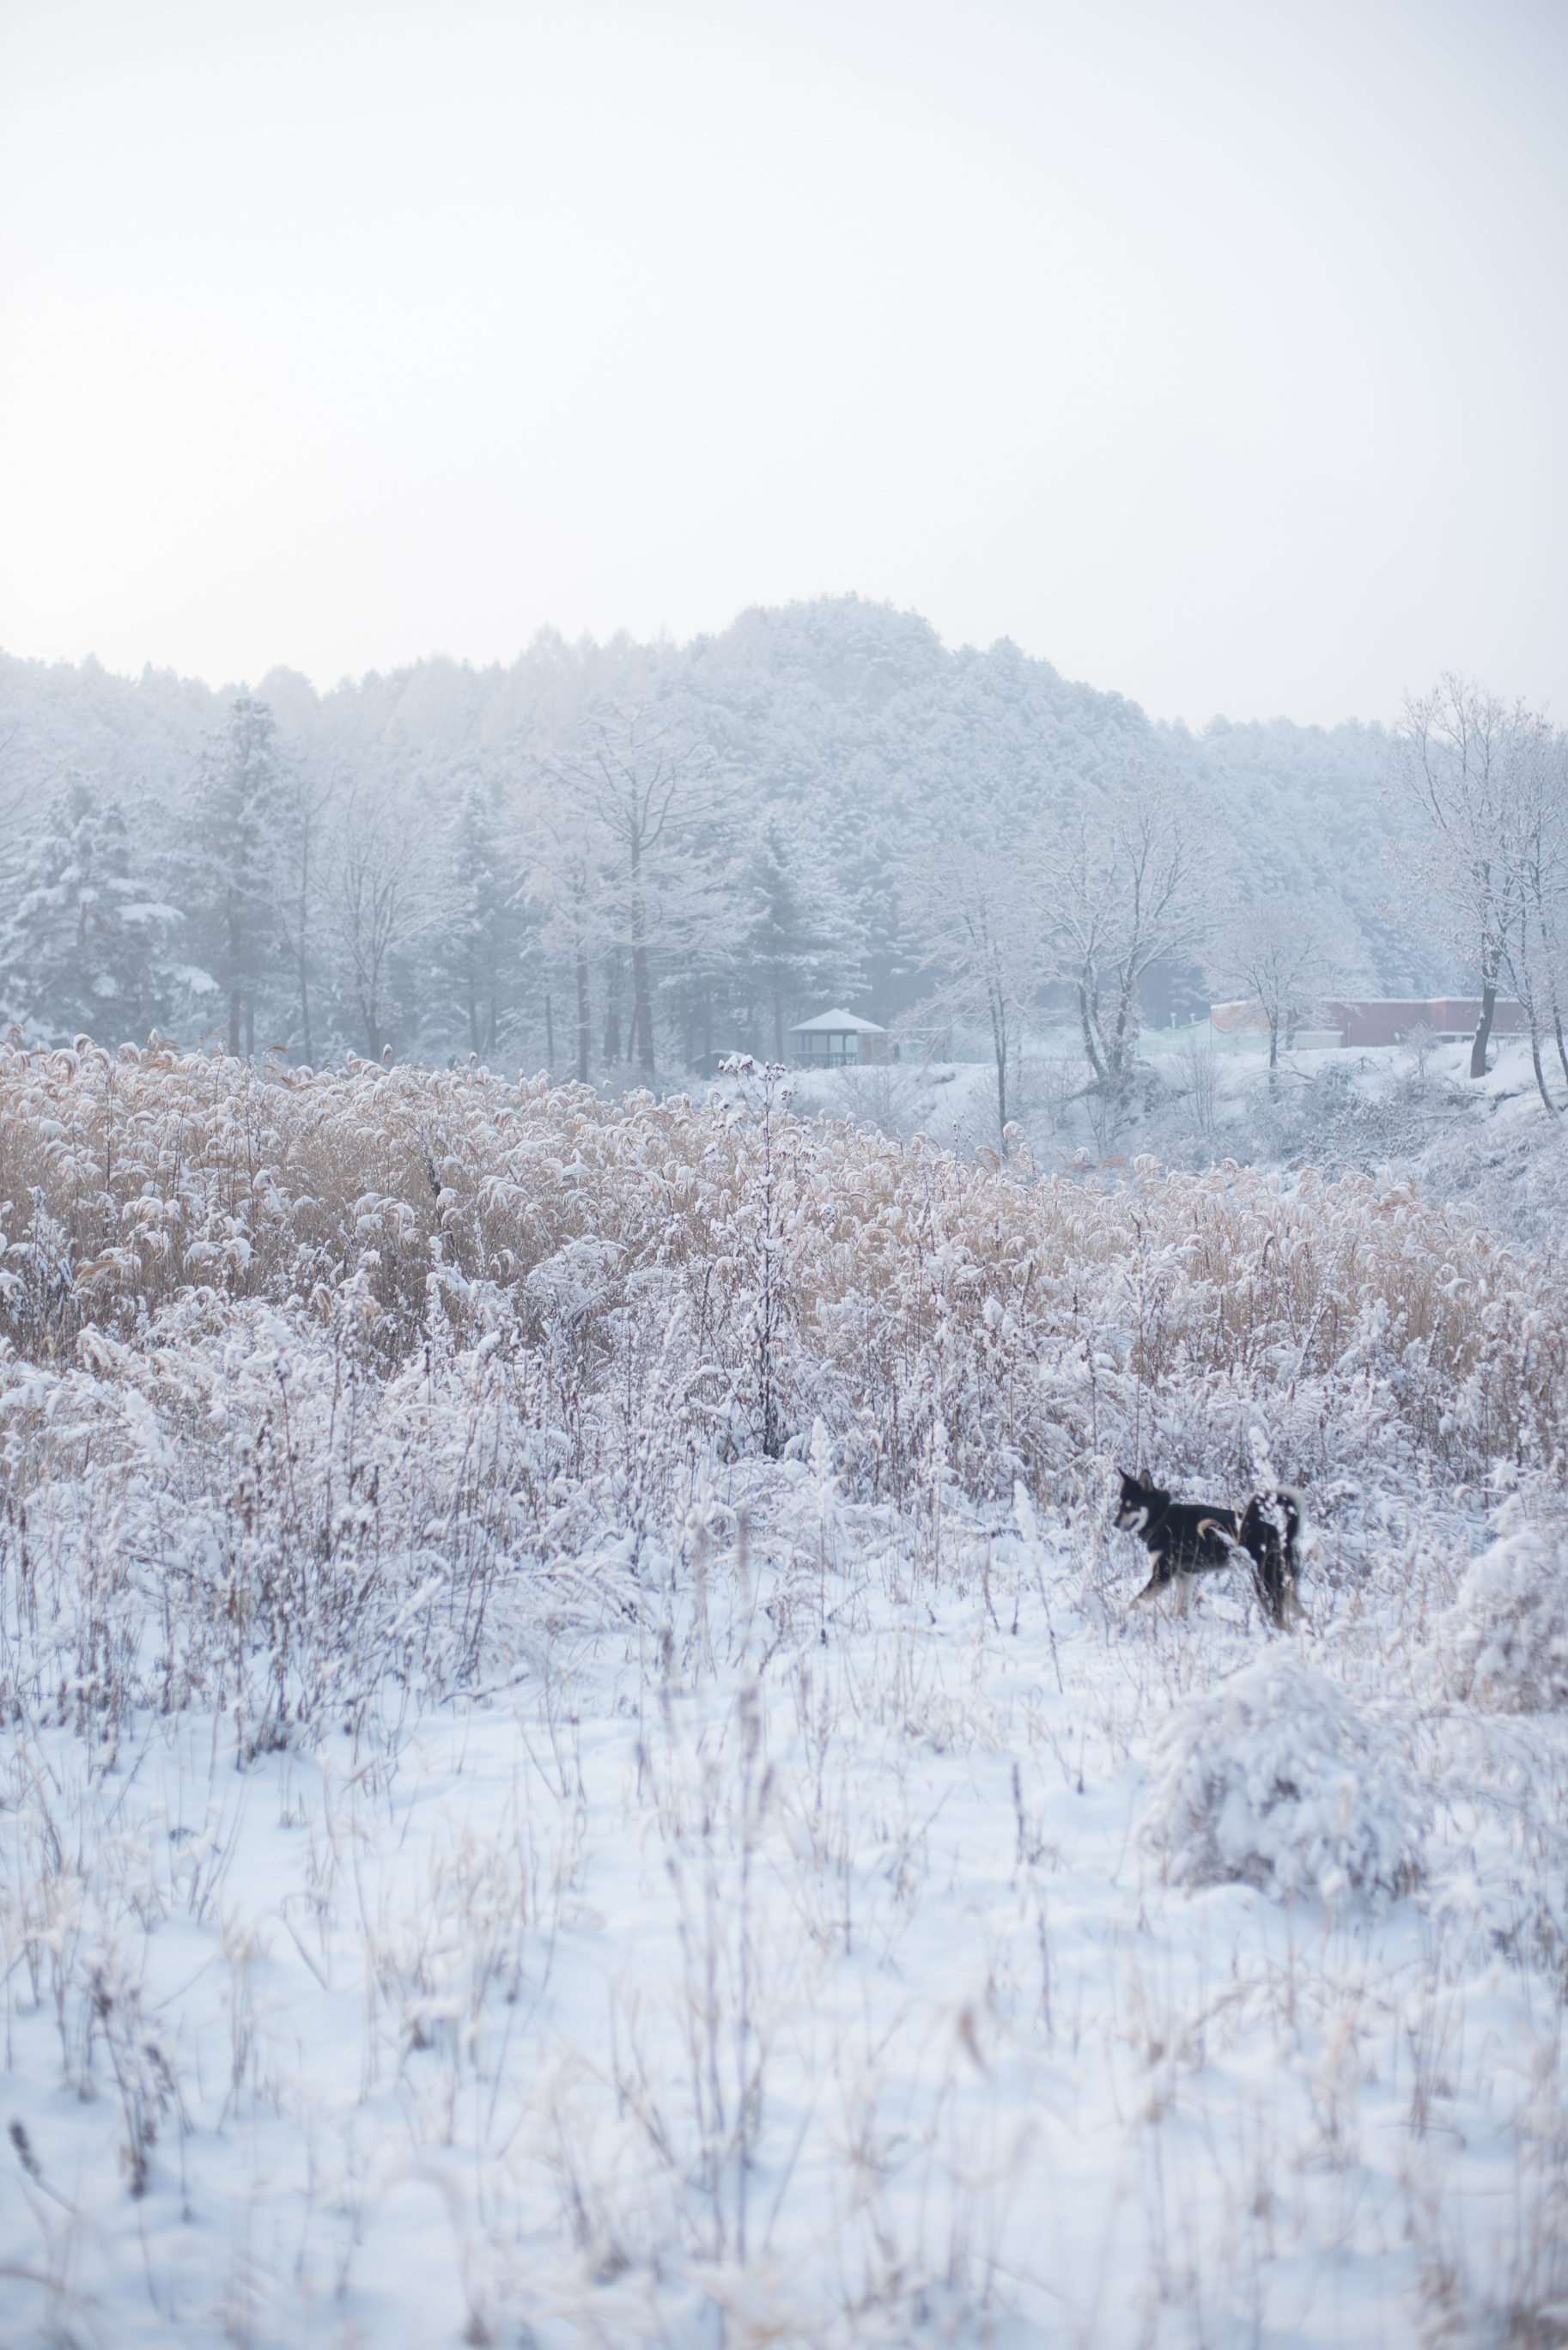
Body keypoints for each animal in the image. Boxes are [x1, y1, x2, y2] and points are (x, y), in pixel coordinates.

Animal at [1123, 1476, 1307, 1626]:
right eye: (1120, 1505)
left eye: (1132, 1506)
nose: (1117, 1522)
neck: (1162, 1519)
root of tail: (1283, 1536)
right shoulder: (1185, 1576)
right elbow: (1180, 1608)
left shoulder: (1162, 1577)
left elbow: (1133, 1602)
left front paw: (1120, 1616)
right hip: (1282, 1590)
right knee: (1305, 1616)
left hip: (1267, 1589)